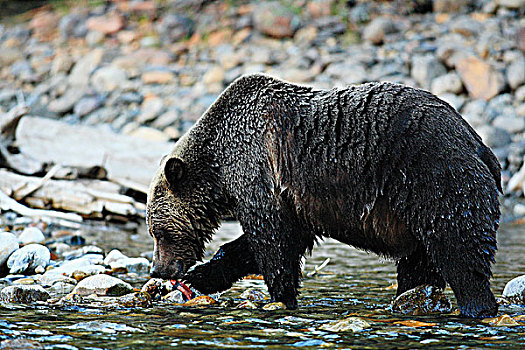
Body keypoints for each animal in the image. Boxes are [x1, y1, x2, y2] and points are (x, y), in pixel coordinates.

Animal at [146, 73, 500, 318]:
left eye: (159, 232)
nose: (158, 270)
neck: (218, 165)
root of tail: (478, 144)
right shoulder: (291, 201)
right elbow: (255, 245)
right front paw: (201, 276)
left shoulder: (258, 170)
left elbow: (273, 242)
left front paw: (281, 297)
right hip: (417, 211)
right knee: (419, 264)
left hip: (435, 179)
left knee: (460, 251)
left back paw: (477, 307)